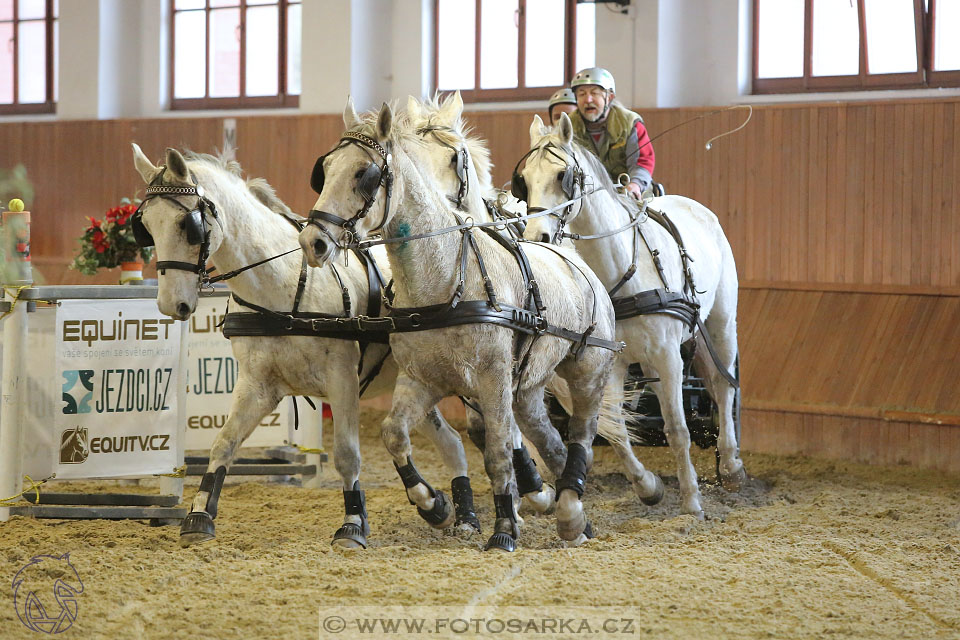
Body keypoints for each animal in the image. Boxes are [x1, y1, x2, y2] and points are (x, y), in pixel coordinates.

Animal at [296, 101, 620, 552]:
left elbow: (499, 451)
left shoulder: (492, 378)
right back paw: (572, 516)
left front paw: (504, 529)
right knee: (551, 440)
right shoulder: (421, 378)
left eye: (365, 173)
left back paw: (570, 507)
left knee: (582, 435)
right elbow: (394, 433)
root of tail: (571, 258)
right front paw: (434, 504)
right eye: (323, 170)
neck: (443, 277)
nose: (314, 242)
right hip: (529, 385)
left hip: (588, 369)